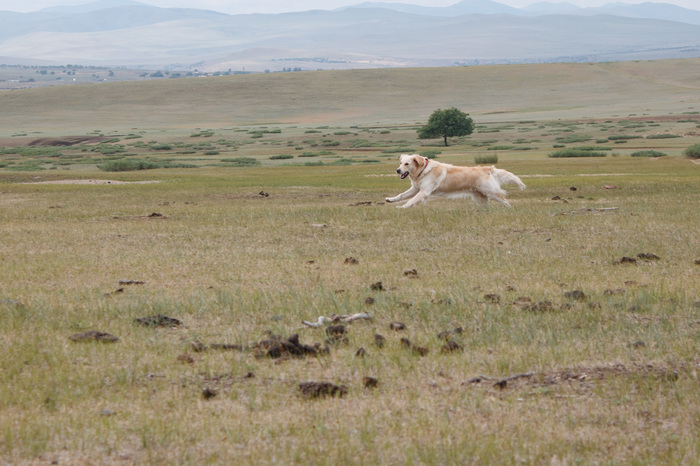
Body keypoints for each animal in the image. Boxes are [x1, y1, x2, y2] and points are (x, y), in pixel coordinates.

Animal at [388, 153, 524, 208]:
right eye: (400, 163)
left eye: (407, 163)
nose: (397, 170)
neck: (423, 170)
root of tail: (487, 168)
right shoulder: (415, 188)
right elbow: (402, 195)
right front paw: (391, 199)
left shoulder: (424, 192)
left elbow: (411, 201)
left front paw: (402, 207)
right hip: (480, 197)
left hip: (491, 192)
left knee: (505, 201)